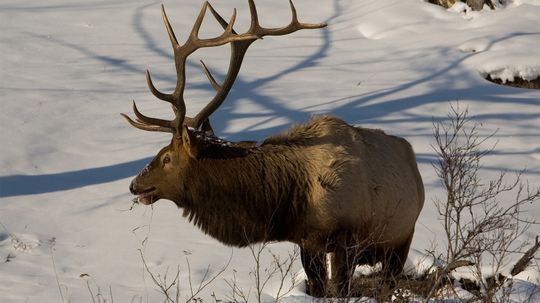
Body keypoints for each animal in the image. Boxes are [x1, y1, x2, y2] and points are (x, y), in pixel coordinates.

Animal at [120, 0, 424, 298]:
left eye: (167, 157)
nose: (134, 184)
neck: (291, 200)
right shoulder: (306, 241)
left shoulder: (344, 239)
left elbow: (338, 289)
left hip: (402, 237)